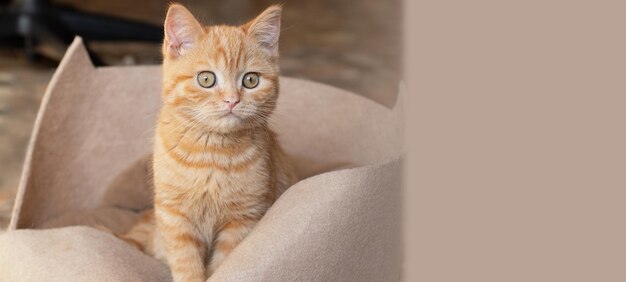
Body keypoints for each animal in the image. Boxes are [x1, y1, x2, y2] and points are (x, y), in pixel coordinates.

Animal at [123, 3, 298, 280]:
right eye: (206, 79)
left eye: (251, 80)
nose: (232, 100)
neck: (212, 154)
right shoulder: (174, 216)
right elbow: (186, 264)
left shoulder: (243, 219)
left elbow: (224, 264)